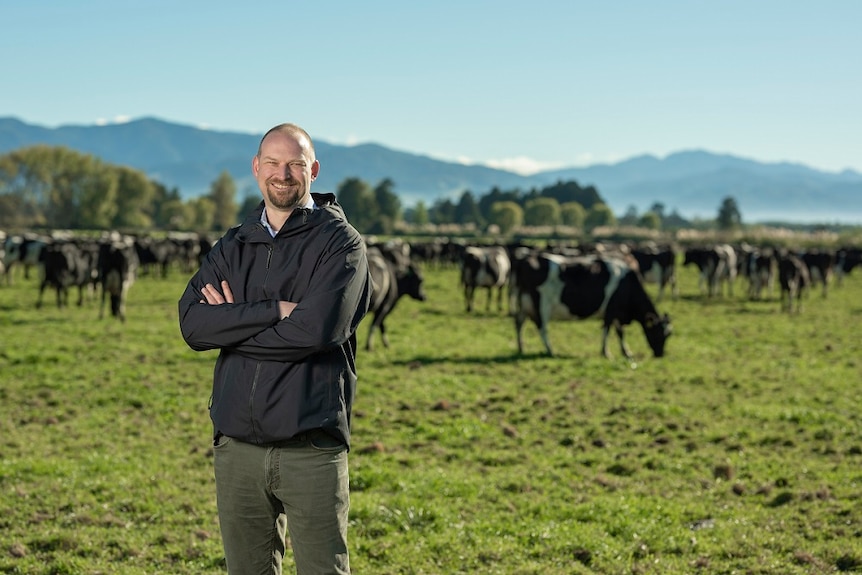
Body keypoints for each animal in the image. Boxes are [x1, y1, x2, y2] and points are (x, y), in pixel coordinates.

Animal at [512, 252, 676, 360]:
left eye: (669, 334)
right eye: (659, 333)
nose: (660, 354)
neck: (627, 285)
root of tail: (525, 259)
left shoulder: (617, 313)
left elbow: (620, 332)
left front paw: (626, 352)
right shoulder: (611, 310)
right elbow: (607, 330)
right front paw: (606, 352)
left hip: (524, 304)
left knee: (519, 322)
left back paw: (521, 347)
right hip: (542, 305)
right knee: (542, 328)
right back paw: (550, 350)